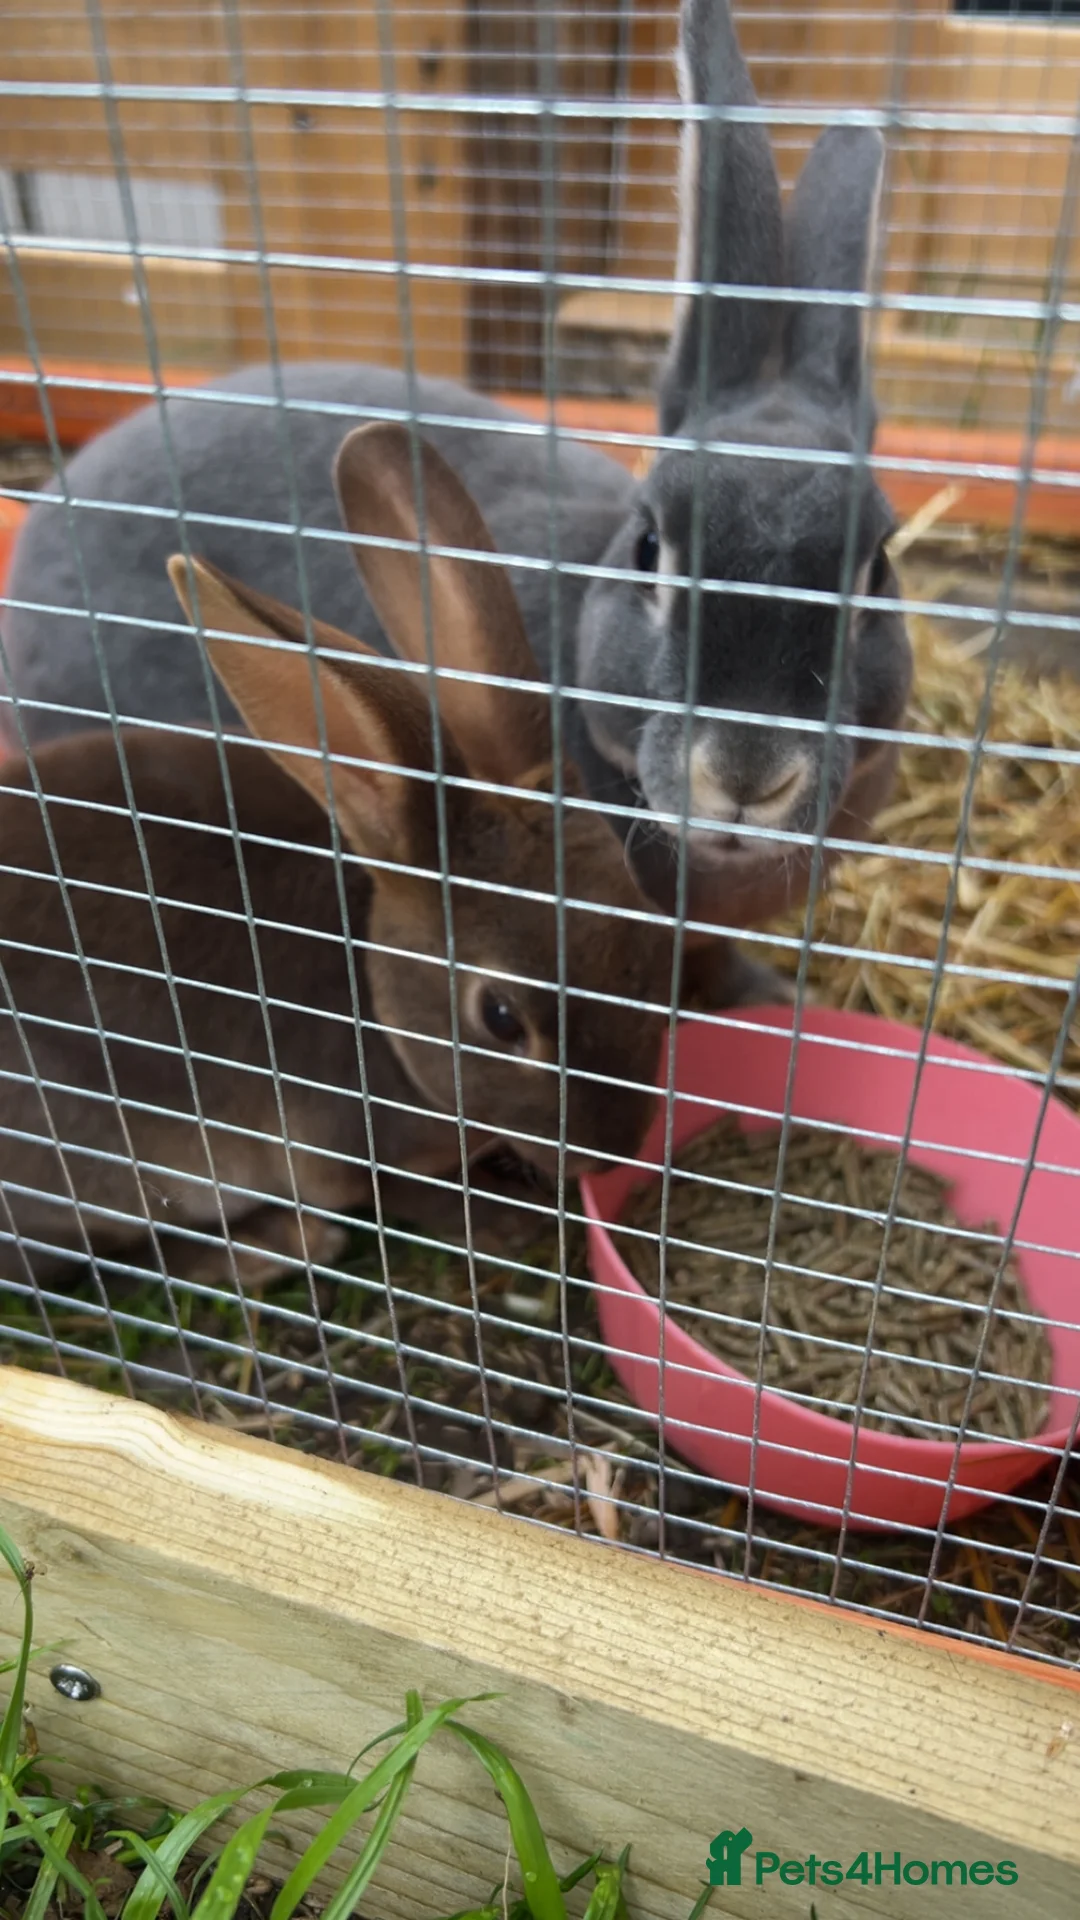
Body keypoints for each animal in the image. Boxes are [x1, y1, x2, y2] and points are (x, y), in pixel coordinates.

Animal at [0, 422, 671, 1294]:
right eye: (500, 1018)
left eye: (651, 942)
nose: (612, 1151)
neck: (376, 993)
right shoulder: (346, 1153)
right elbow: (400, 1196)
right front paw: (509, 1221)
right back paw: (270, 1246)